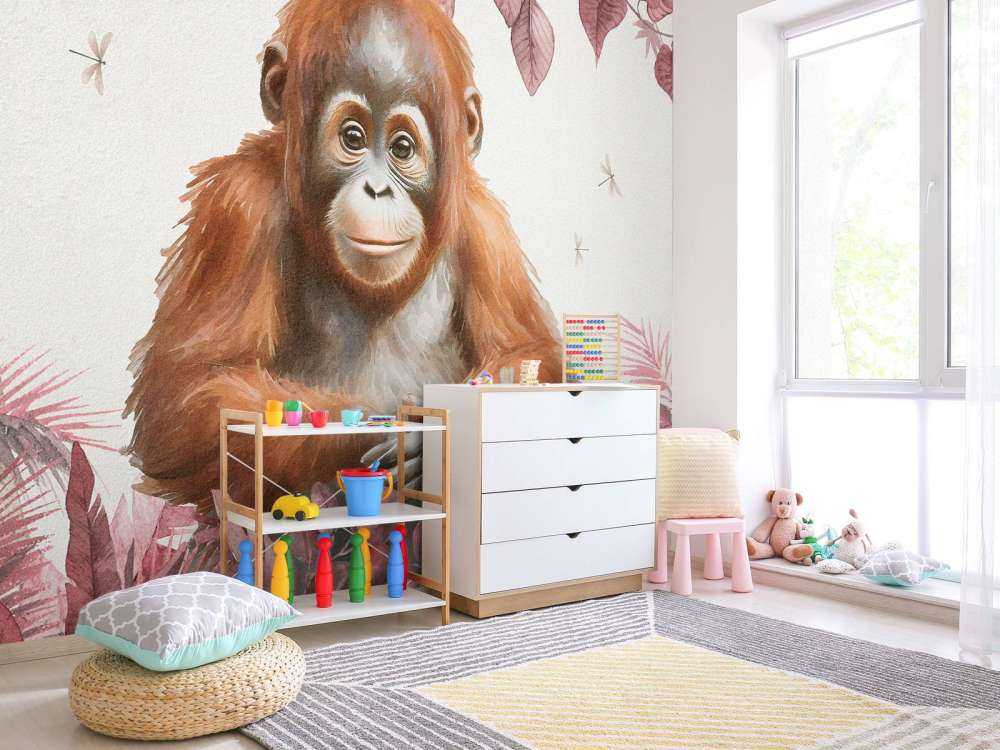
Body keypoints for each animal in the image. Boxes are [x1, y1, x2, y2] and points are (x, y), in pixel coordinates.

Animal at [125, 0, 562, 513]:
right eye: (352, 138)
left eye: (402, 148)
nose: (377, 188)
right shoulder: (237, 206)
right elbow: (189, 396)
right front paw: (406, 430)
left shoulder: (486, 228)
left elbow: (526, 351)